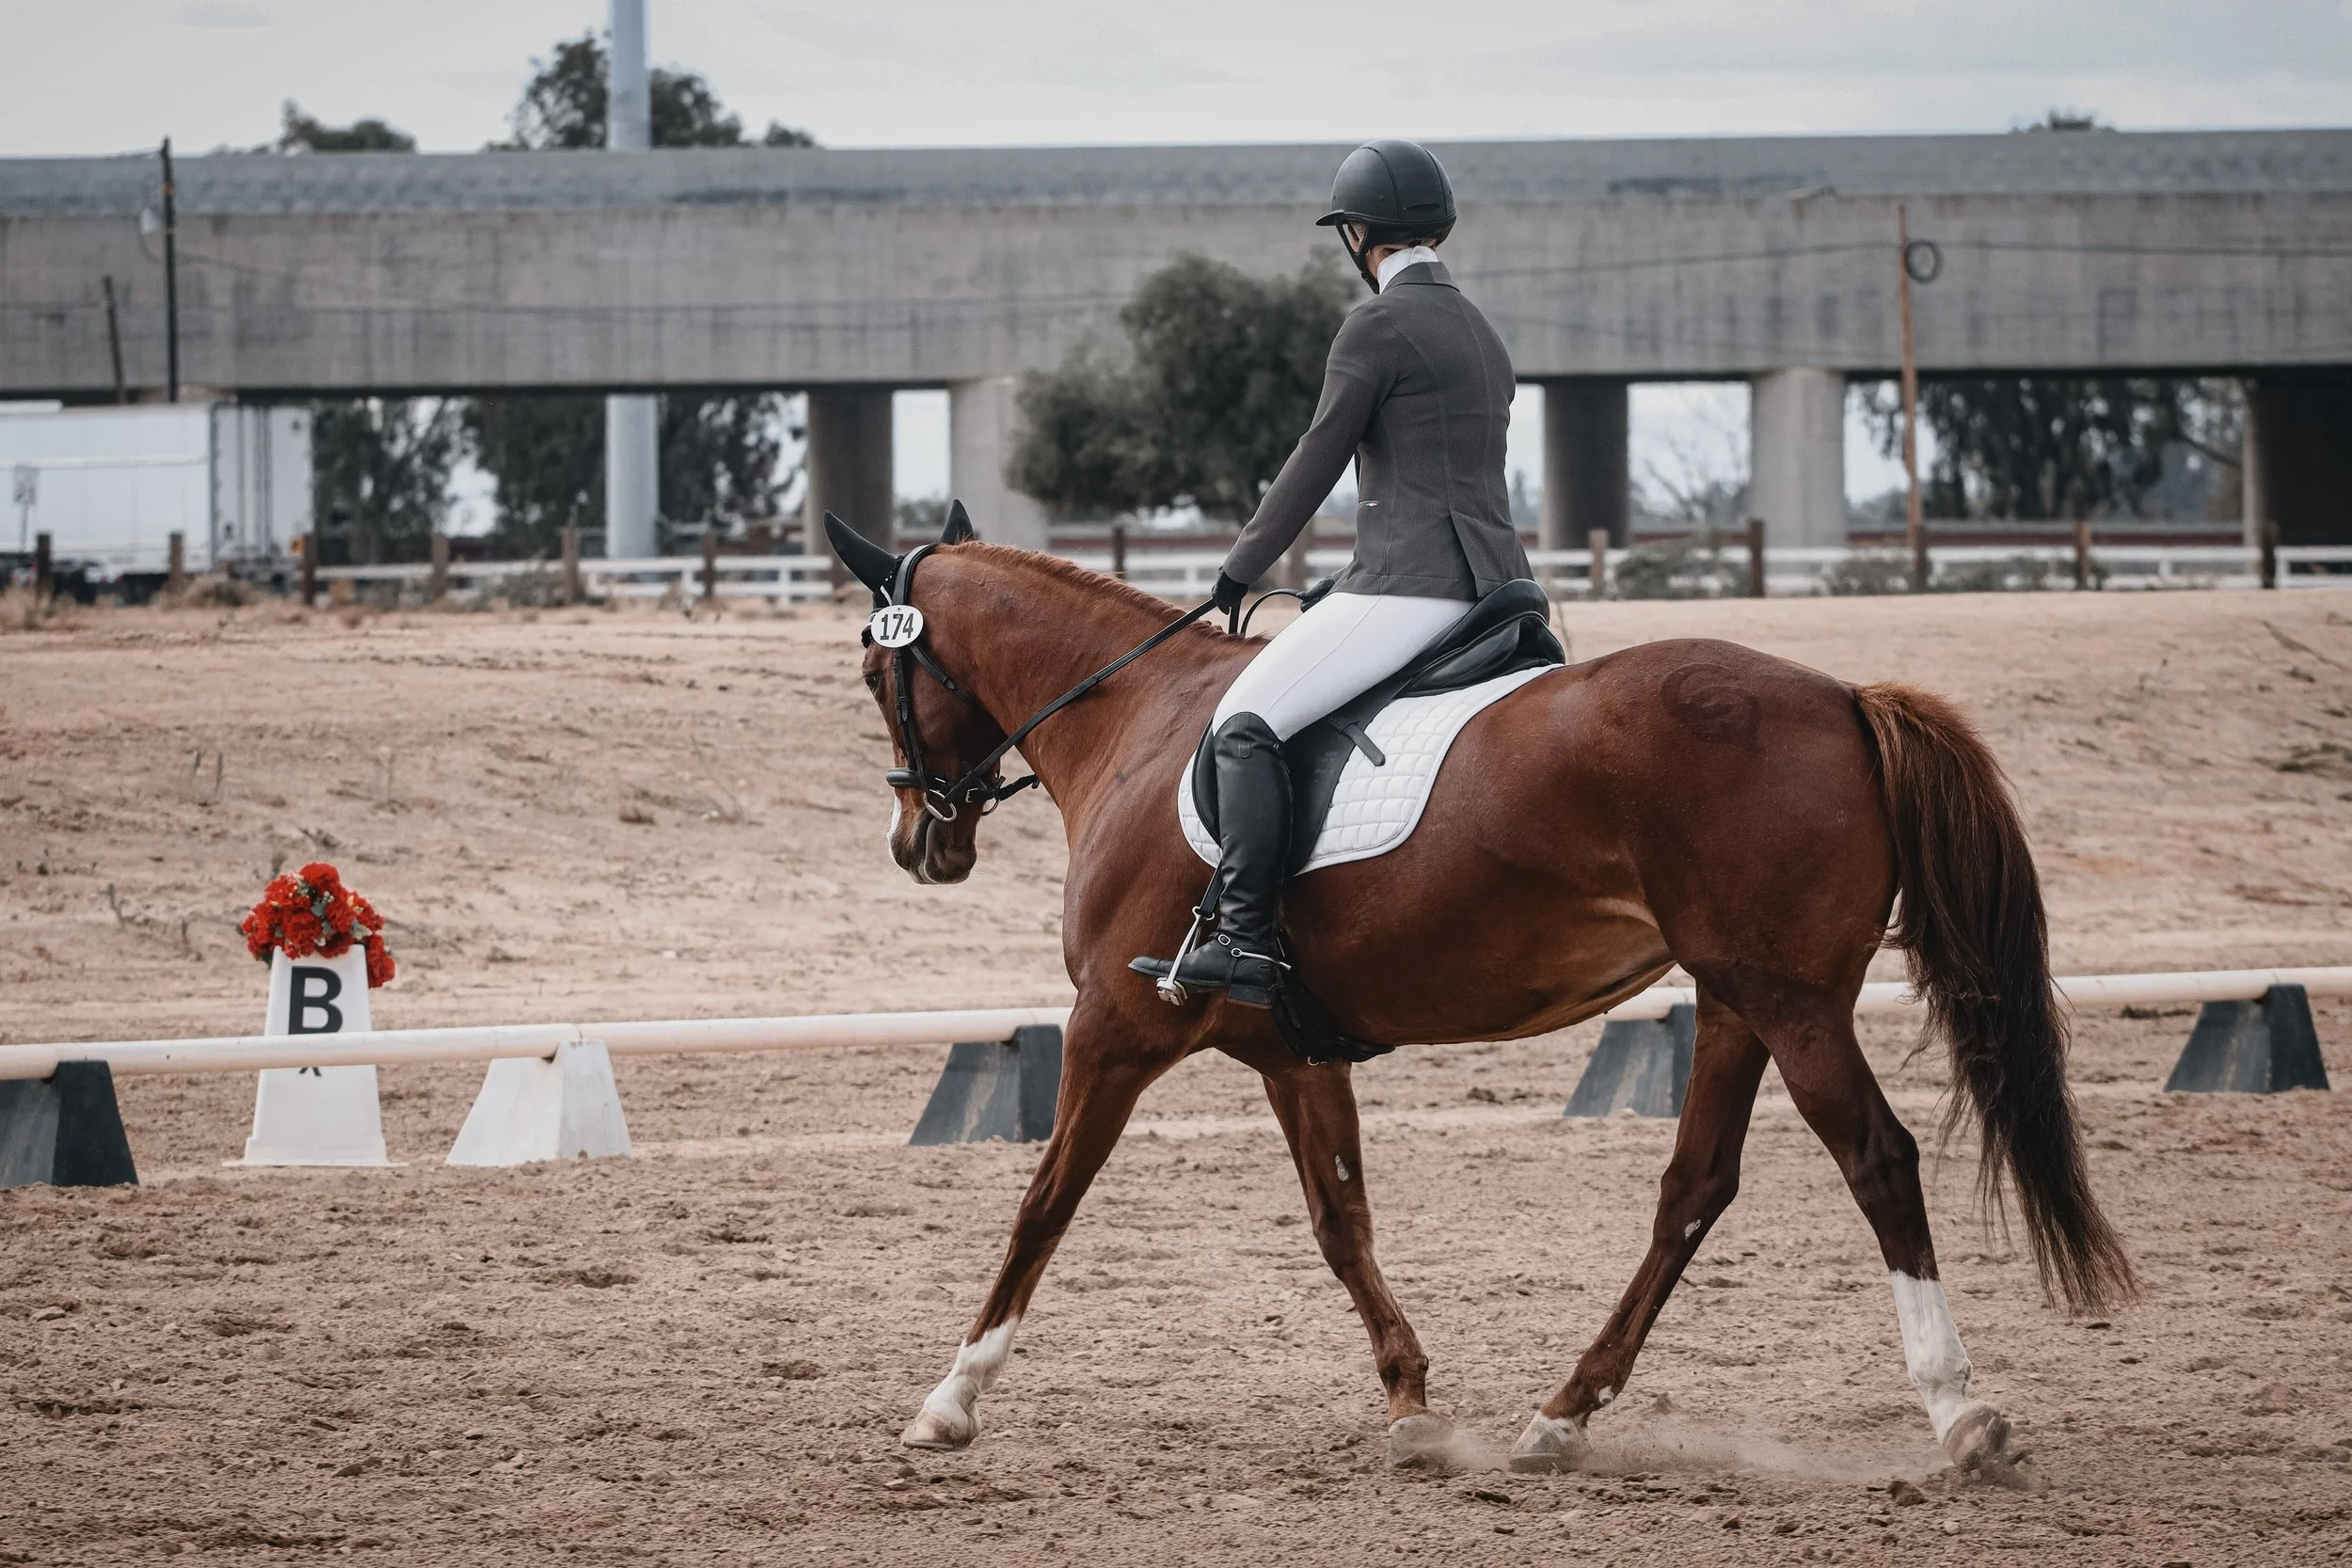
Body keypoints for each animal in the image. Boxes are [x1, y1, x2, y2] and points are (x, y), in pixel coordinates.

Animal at [837, 519, 2133, 1474]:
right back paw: (1560, 1413)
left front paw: (949, 1398)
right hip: (1737, 999)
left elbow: (1042, 1203)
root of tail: (1844, 694)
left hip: (1791, 998)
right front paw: (1411, 1403)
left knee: (1875, 1158)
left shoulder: (1112, 1028)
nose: (917, 843)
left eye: (870, 667)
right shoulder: (1293, 1050)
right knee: (1693, 1188)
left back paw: (1959, 1413)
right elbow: (1340, 1219)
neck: (1135, 721)